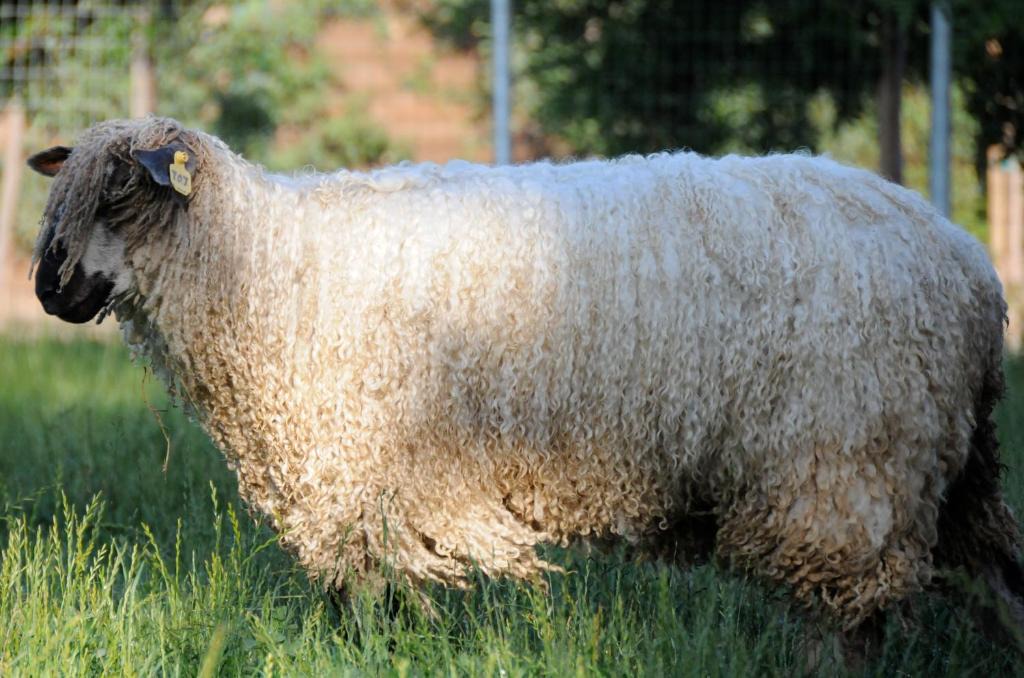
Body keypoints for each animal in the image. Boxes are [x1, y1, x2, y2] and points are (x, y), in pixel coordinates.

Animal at [26, 116, 1024, 641]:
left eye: (121, 196)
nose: (46, 289)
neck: (262, 264)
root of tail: (969, 267)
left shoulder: (375, 466)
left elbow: (372, 593)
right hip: (942, 469)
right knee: (995, 578)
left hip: (846, 460)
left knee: (846, 617)